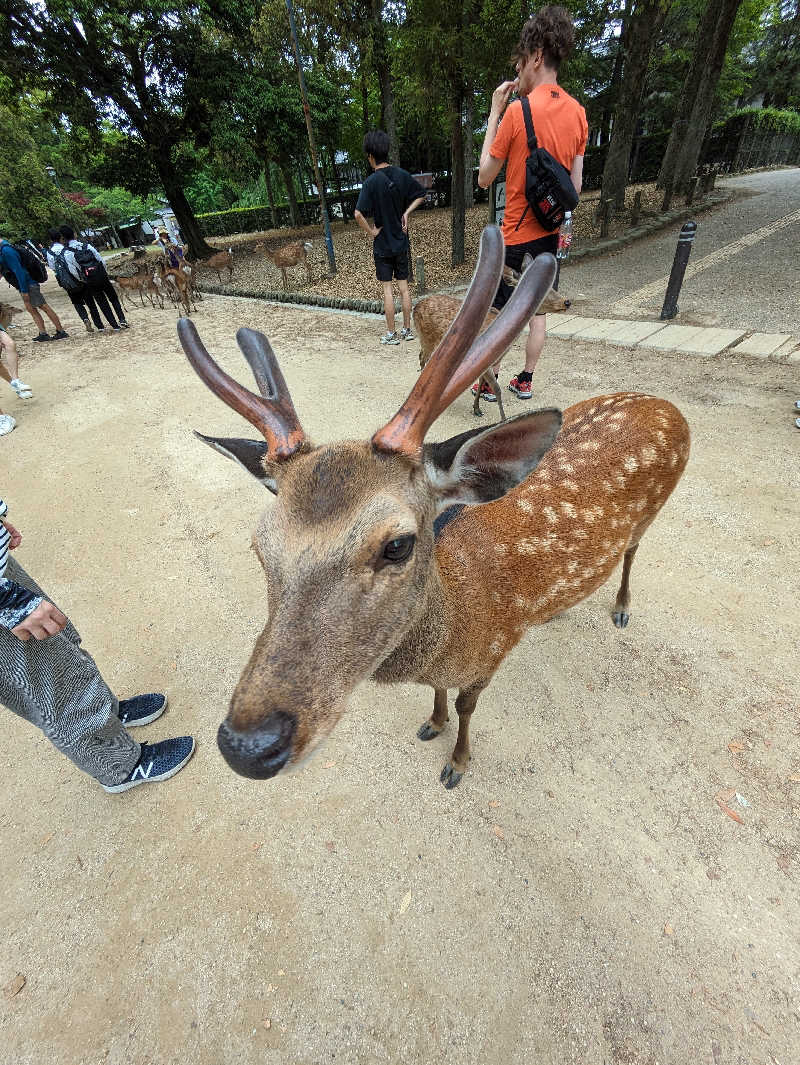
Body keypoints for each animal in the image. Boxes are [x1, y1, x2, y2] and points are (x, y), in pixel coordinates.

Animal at [180, 226, 690, 792]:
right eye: (259, 545)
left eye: (397, 545)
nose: (247, 747)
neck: (453, 627)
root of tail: (667, 406)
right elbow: (439, 696)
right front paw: (432, 723)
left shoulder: (492, 654)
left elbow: (468, 709)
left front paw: (457, 762)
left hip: (654, 509)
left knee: (633, 551)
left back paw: (621, 607)